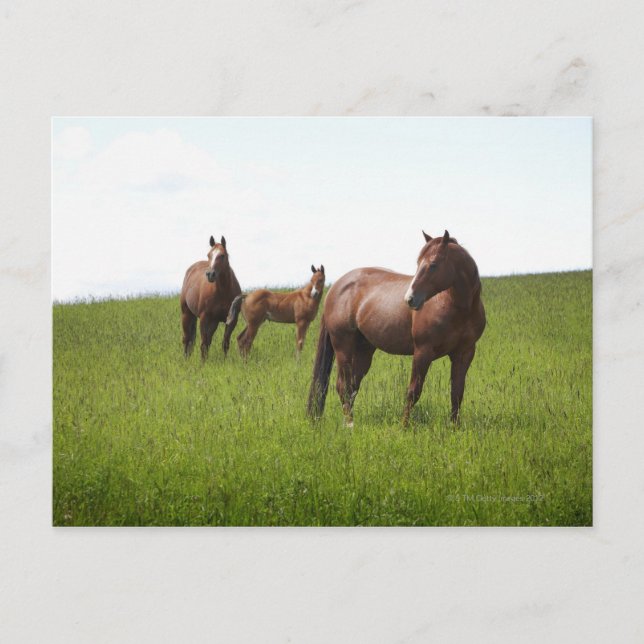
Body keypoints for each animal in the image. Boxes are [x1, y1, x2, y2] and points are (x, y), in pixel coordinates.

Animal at [307, 230, 485, 426]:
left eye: (433, 265)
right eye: (418, 263)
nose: (410, 299)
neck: (456, 306)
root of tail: (335, 288)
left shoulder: (464, 353)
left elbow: (457, 393)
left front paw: (454, 426)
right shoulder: (423, 351)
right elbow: (414, 391)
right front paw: (404, 426)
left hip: (363, 350)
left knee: (353, 386)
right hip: (343, 347)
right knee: (344, 387)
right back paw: (349, 424)